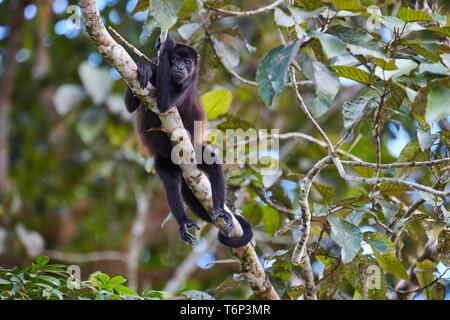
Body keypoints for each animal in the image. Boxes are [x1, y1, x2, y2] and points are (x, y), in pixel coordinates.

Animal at [125, 36, 253, 249]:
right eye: (176, 59)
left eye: (187, 62)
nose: (179, 68)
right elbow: (130, 105)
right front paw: (146, 67)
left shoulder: (187, 85)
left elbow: (165, 104)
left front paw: (165, 45)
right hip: (163, 160)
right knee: (170, 181)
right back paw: (183, 221)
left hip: (194, 151)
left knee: (211, 160)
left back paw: (219, 209)